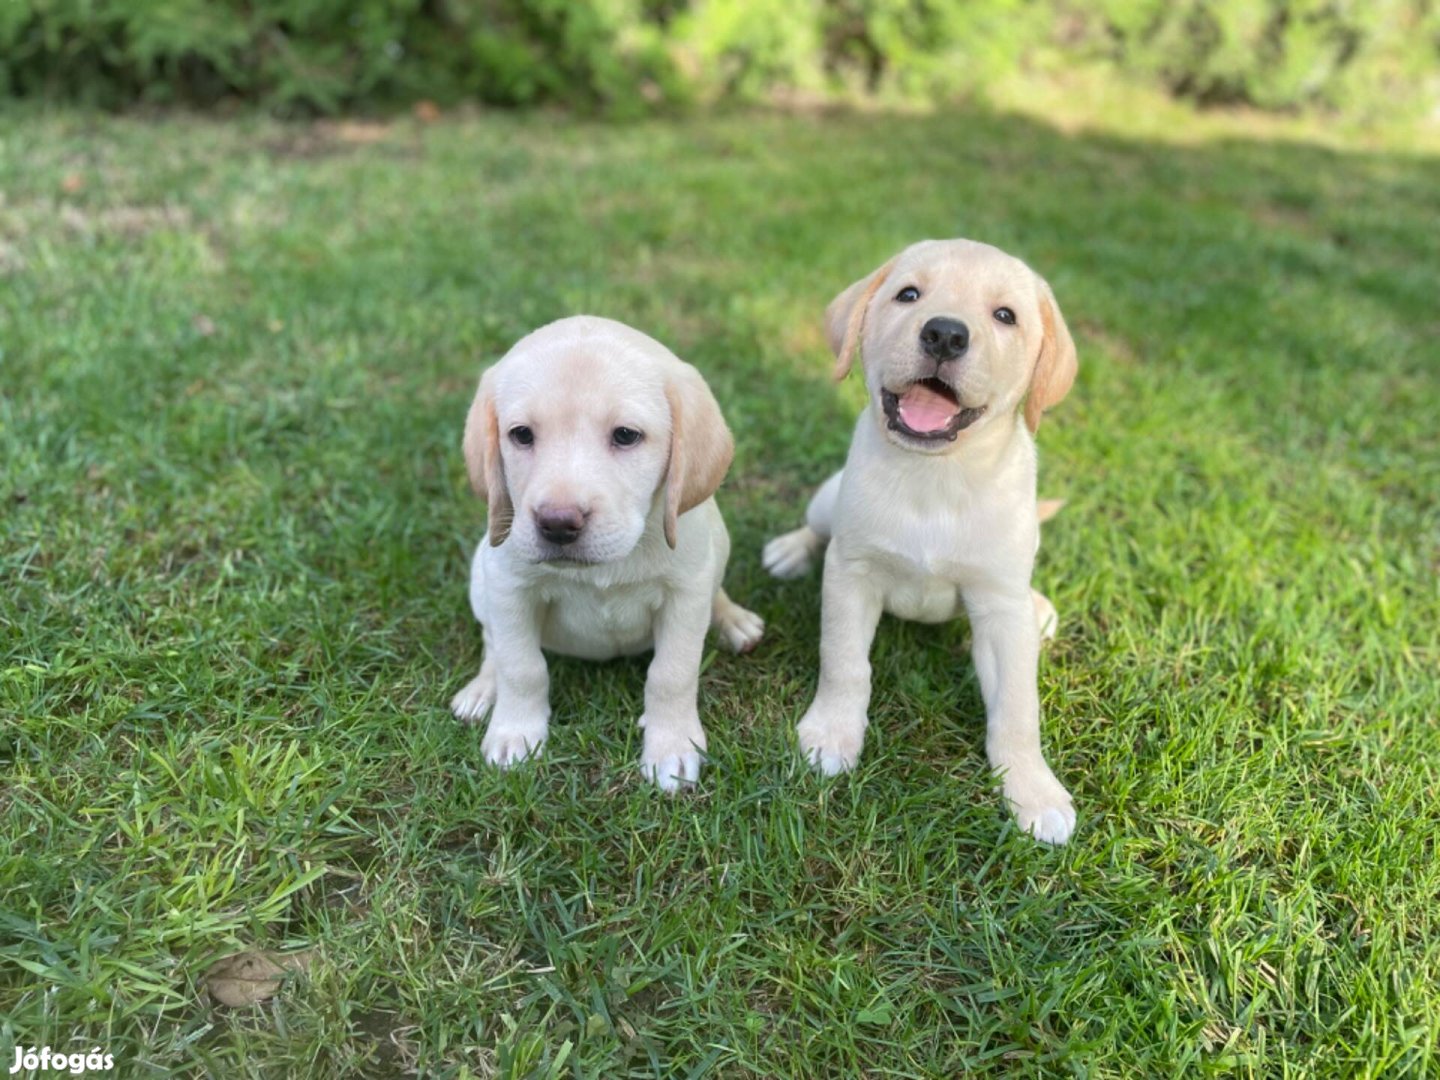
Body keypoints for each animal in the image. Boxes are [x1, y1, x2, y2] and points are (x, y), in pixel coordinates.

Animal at [452, 316, 766, 789]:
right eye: (521, 435)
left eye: (625, 435)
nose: (557, 523)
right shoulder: (509, 587)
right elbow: (521, 666)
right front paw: (514, 734)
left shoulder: (686, 593)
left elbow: (672, 674)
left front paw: (671, 745)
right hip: (480, 572)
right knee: (493, 642)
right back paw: (483, 689)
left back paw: (733, 620)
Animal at [766, 240, 1082, 852]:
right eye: (908, 294)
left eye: (1005, 315)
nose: (944, 334)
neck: (936, 476)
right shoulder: (852, 573)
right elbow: (844, 662)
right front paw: (832, 734)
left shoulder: (999, 607)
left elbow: (1018, 707)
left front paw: (1033, 791)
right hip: (828, 498)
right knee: (816, 529)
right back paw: (790, 551)